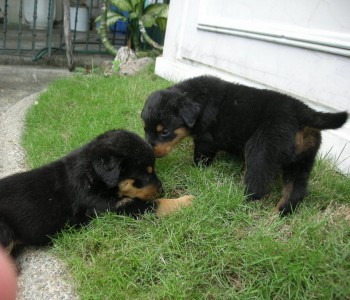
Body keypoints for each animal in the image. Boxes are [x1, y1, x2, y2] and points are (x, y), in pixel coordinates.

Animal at [0, 129, 191, 253]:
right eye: (144, 174)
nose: (161, 189)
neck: (92, 176)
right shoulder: (111, 207)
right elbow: (154, 205)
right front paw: (186, 200)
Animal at [140, 76, 348, 214]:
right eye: (145, 128)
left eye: (164, 132)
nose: (149, 148)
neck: (198, 99)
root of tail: (304, 112)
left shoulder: (205, 140)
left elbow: (200, 158)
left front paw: (194, 169)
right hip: (302, 160)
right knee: (295, 189)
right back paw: (279, 214)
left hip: (261, 150)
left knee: (258, 185)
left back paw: (240, 200)